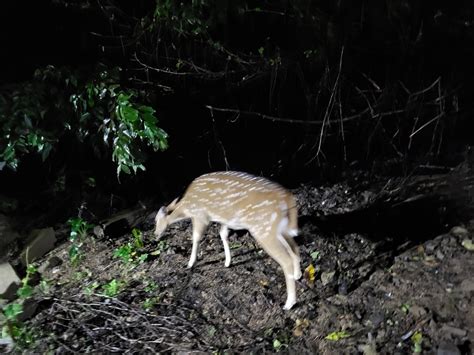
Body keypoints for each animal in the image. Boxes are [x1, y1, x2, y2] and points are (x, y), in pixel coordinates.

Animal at [154, 171, 300, 310]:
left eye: (156, 220)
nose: (155, 234)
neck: (187, 206)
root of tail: (287, 198)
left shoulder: (201, 216)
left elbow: (196, 237)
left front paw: (190, 264)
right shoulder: (224, 220)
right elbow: (223, 234)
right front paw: (227, 262)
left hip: (263, 229)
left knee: (286, 260)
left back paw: (289, 303)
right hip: (281, 229)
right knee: (295, 248)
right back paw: (297, 275)